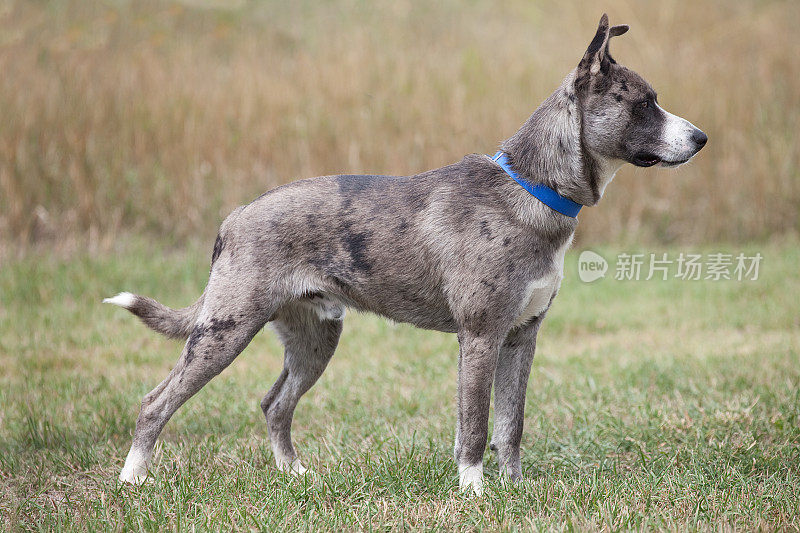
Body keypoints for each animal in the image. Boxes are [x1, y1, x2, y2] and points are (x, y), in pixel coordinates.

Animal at [106, 15, 708, 494]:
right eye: (643, 104)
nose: (701, 138)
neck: (532, 188)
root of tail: (231, 221)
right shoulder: (481, 337)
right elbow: (476, 427)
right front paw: (474, 494)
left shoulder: (522, 337)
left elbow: (511, 426)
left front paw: (516, 491)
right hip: (224, 333)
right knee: (156, 402)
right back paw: (133, 480)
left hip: (315, 340)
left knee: (275, 405)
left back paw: (295, 475)